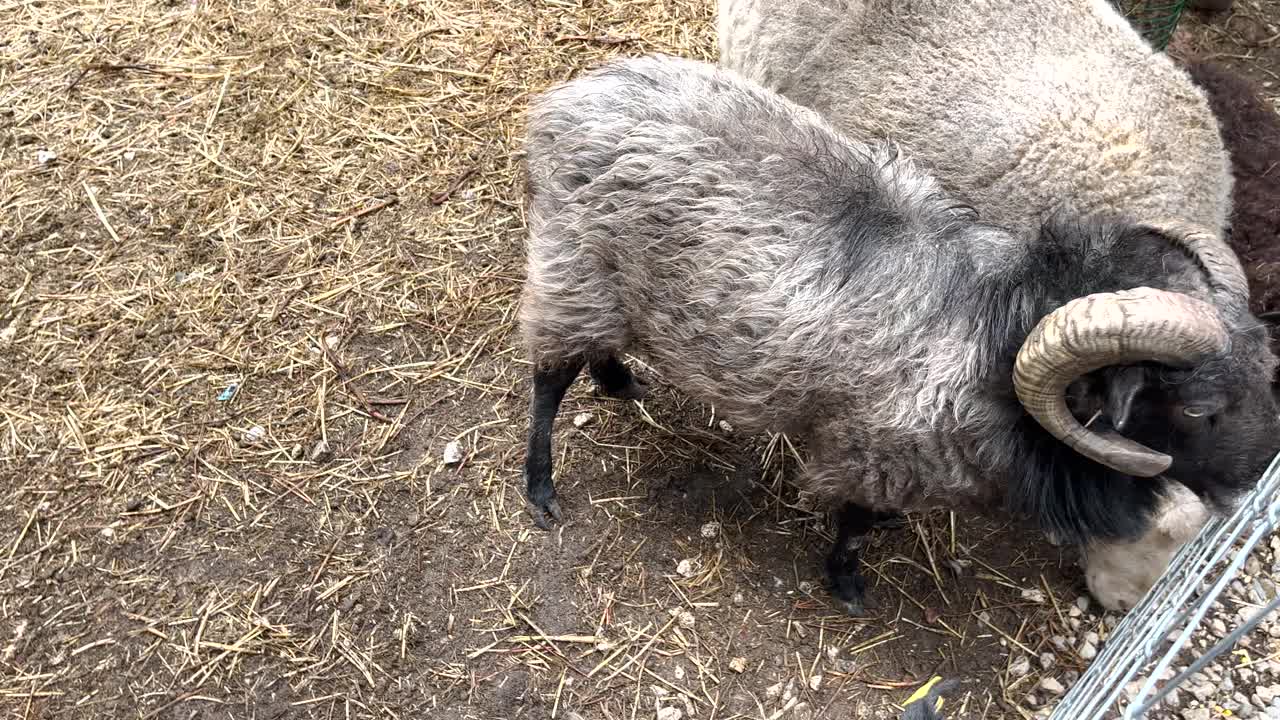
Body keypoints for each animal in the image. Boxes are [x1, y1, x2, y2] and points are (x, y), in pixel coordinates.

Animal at [517, 54, 1280, 609]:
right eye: (1196, 409)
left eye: (1264, 371)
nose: (1259, 473)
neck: (996, 333)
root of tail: (565, 104)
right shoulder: (878, 453)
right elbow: (857, 523)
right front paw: (847, 584)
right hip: (571, 267)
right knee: (549, 379)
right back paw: (541, 486)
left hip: (607, 286)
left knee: (595, 348)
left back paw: (619, 378)